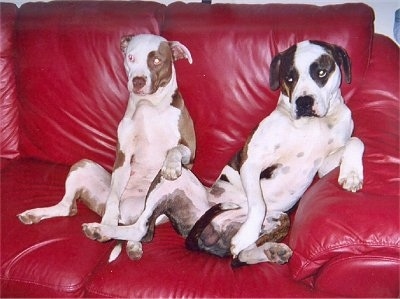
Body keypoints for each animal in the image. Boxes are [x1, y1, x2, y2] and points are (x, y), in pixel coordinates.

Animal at [17, 34, 195, 260]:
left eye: (156, 60)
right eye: (131, 57)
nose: (138, 81)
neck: (149, 106)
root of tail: (128, 214)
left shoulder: (189, 149)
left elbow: (175, 149)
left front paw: (171, 166)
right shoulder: (123, 158)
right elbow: (113, 197)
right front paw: (107, 222)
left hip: (162, 198)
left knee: (143, 226)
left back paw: (132, 245)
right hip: (83, 165)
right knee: (68, 208)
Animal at [76, 40, 364, 268]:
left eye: (322, 72)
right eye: (289, 78)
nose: (303, 102)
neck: (310, 126)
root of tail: (204, 233)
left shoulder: (324, 165)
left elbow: (356, 141)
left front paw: (351, 176)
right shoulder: (251, 161)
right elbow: (257, 204)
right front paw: (246, 233)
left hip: (281, 219)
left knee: (239, 255)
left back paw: (271, 251)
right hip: (175, 180)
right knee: (140, 229)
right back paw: (99, 230)